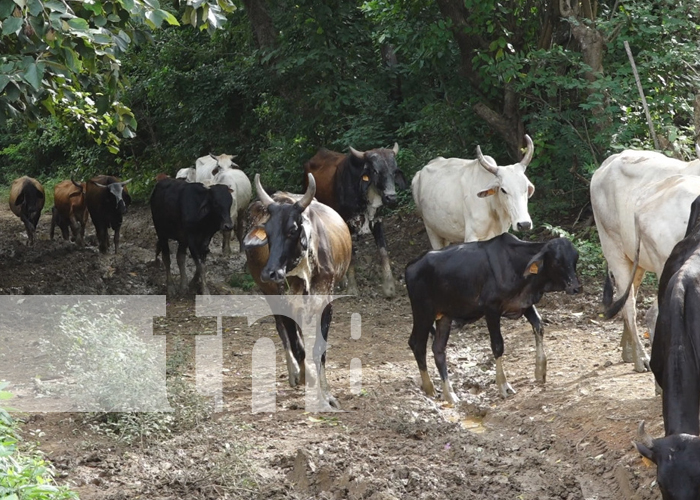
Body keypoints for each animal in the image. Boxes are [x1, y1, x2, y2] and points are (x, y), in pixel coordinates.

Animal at [245, 174, 352, 408]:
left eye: (292, 229)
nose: (270, 272)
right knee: (284, 331)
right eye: (267, 232)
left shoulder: (325, 302)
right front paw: (307, 378)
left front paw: (327, 395)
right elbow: (298, 345)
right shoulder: (284, 301)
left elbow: (319, 349)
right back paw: (297, 372)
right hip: (269, 294)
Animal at [404, 233, 580, 402]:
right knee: (417, 344)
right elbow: (497, 345)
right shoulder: (491, 309)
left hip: (445, 316)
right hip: (423, 312)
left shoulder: (525, 304)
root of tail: (411, 265)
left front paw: (540, 371)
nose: (576, 287)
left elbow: (539, 327)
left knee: (438, 349)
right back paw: (430, 388)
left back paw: (450, 395)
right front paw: (503, 386)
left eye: (575, 259)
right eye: (557, 261)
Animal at [592, 150, 700, 374]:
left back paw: (628, 352)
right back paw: (641, 358)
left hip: (638, 261)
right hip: (613, 247)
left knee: (628, 297)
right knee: (632, 307)